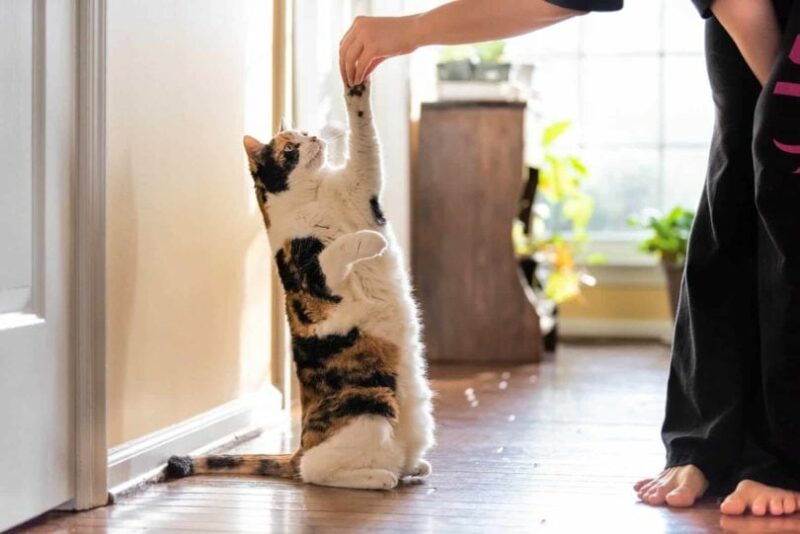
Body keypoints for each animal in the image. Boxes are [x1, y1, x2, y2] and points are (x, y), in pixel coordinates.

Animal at [165, 81, 434, 492]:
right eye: (290, 149)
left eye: (305, 133)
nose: (314, 139)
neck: (317, 194)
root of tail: (300, 444)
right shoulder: (312, 284)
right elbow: (335, 252)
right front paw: (370, 241)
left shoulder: (361, 181)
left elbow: (364, 138)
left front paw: (356, 87)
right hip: (369, 402)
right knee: (316, 470)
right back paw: (379, 477)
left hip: (411, 417)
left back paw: (414, 468)